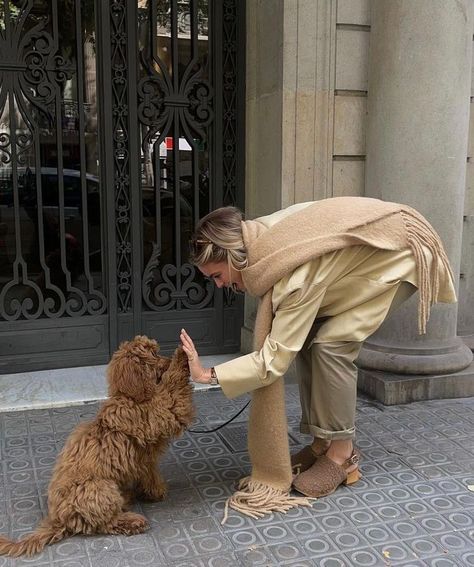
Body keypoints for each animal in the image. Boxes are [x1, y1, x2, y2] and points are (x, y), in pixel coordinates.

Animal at [0, 336, 194, 556]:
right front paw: (183, 354)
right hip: (100, 488)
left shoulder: (146, 459)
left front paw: (154, 492)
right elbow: (173, 390)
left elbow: (150, 473)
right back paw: (133, 521)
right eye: (152, 354)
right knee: (105, 523)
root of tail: (59, 519)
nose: (167, 360)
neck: (131, 397)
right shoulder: (161, 412)